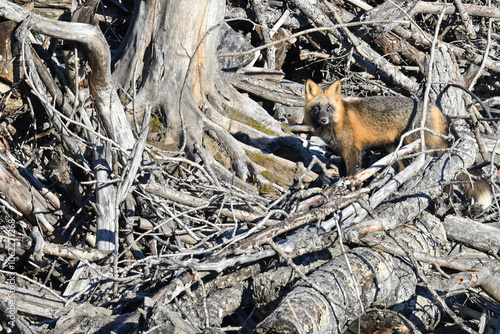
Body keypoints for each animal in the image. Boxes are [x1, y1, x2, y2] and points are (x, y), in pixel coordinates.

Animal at [304, 79, 492, 209]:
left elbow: (353, 175)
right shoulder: (343, 152)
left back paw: (445, 195)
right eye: (317, 108)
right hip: (396, 150)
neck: (338, 120)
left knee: (447, 169)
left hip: (427, 147)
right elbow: (343, 173)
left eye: (329, 108)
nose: (323, 119)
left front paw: (349, 192)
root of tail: (436, 108)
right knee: (405, 170)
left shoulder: (352, 150)